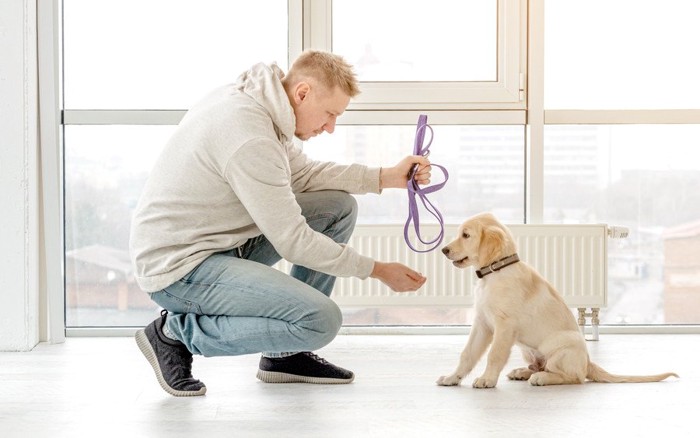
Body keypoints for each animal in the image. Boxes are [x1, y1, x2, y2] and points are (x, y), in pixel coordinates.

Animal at [438, 212, 680, 386]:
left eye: (466, 235)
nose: (443, 250)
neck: (495, 272)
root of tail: (588, 362)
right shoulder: (482, 324)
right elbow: (467, 354)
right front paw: (452, 378)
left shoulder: (504, 326)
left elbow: (495, 355)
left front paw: (487, 379)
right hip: (528, 351)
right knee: (542, 367)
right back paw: (523, 372)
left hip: (563, 346)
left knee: (574, 377)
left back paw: (542, 378)